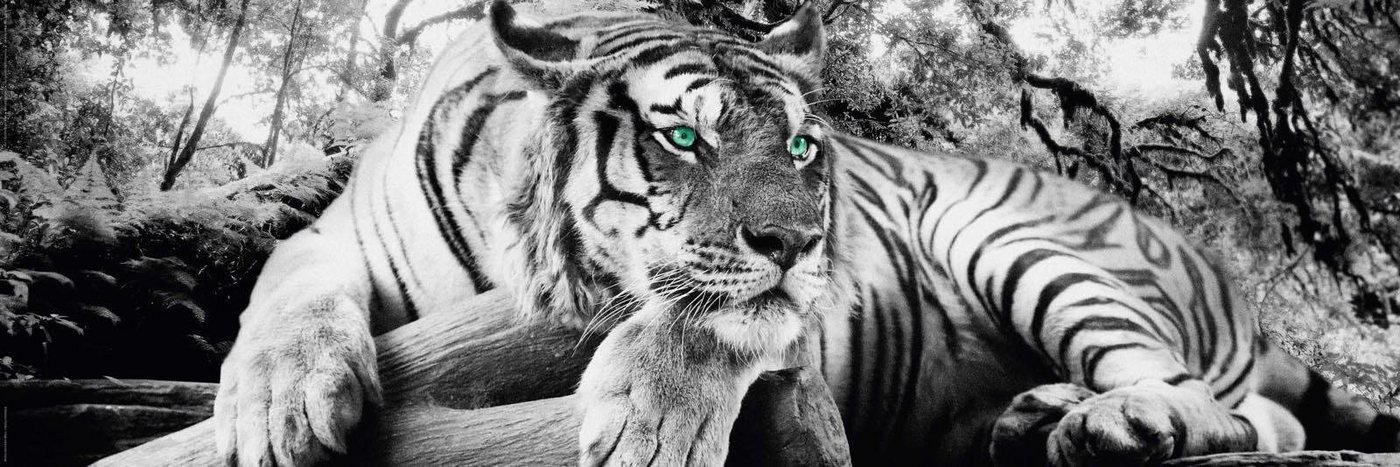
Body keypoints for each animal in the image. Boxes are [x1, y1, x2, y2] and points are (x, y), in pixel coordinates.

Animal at [212, 1, 1400, 466]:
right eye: (682, 135)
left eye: (797, 146)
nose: (796, 240)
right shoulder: (334, 235)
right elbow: (284, 286)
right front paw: (278, 407)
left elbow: (710, 317)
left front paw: (649, 420)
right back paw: (1029, 415)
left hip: (1017, 239)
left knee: (1222, 405)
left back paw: (1115, 420)